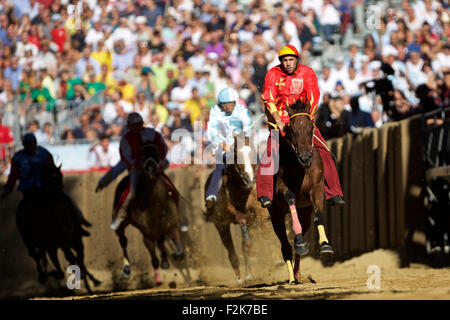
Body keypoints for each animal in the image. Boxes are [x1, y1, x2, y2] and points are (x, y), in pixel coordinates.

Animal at [16, 164, 100, 292]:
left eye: (60, 176)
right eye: (49, 179)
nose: (60, 191)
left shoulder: (62, 242)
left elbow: (73, 258)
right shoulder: (51, 244)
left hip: (65, 242)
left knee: (74, 257)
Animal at [113, 142, 185, 284]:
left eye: (156, 152)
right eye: (142, 154)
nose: (151, 166)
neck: (155, 205)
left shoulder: (171, 224)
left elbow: (177, 247)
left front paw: (174, 257)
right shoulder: (146, 235)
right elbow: (154, 259)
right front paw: (158, 278)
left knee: (161, 240)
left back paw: (165, 260)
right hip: (120, 221)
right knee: (123, 240)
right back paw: (126, 270)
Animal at [203, 134, 256, 284]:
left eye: (254, 153)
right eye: (237, 155)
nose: (249, 179)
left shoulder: (252, 214)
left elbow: (245, 244)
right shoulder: (226, 216)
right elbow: (241, 218)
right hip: (221, 226)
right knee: (231, 252)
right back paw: (239, 278)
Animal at [268, 100, 334, 284]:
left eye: (311, 127)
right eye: (292, 129)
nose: (305, 158)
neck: (299, 168)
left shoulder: (316, 187)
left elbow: (318, 214)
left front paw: (325, 245)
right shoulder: (280, 188)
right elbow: (290, 196)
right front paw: (299, 240)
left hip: (304, 211)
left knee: (298, 245)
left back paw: (298, 274)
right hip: (275, 214)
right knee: (285, 246)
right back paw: (291, 278)